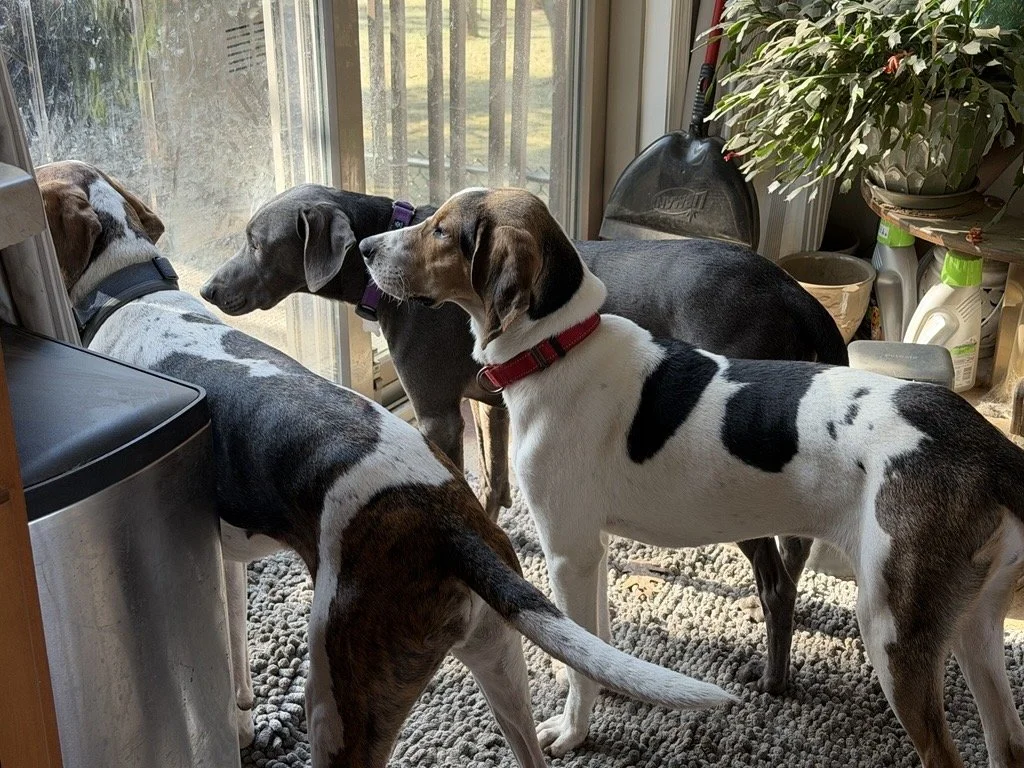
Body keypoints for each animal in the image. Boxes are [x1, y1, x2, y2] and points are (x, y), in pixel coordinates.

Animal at [37, 161, 734, 768]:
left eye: (257, 242)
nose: (206, 288)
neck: (134, 295)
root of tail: (450, 526)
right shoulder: (221, 560)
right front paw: (238, 725)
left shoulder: (439, 411)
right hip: (501, 664)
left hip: (342, 701)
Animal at [199, 182, 849, 696]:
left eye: (255, 242)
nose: (205, 290)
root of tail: (798, 295)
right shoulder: (488, 403)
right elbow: (493, 485)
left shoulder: (437, 413)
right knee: (791, 554)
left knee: (775, 575)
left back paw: (773, 677)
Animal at [360, 187, 1024, 768]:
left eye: (441, 230)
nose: (366, 247)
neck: (560, 347)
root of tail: (989, 449)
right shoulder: (593, 550)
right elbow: (596, 641)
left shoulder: (567, 551)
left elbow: (578, 661)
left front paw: (574, 731)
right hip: (974, 631)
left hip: (892, 633)